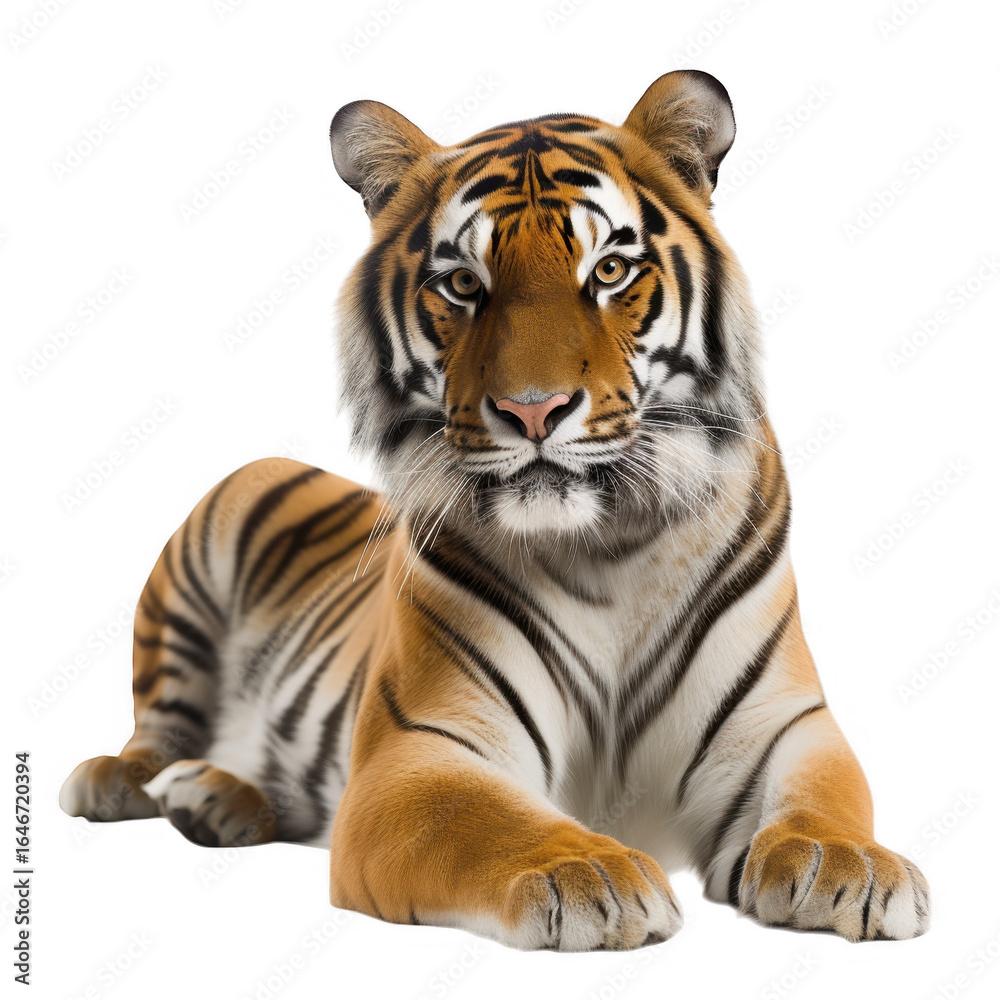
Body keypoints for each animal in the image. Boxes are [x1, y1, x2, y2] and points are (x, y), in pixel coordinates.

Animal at [60, 70, 929, 951]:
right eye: (464, 284)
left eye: (610, 270)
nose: (533, 410)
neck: (608, 545)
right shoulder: (420, 753)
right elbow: (487, 820)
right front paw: (591, 874)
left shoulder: (783, 726)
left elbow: (827, 796)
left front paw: (849, 864)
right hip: (218, 520)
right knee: (156, 724)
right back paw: (121, 781)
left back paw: (214, 798)